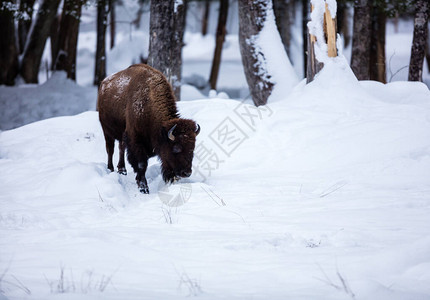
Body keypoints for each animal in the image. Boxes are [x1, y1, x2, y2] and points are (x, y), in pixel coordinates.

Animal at [97, 64, 200, 193]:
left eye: (192, 149)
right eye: (176, 149)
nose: (186, 173)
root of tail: (103, 84)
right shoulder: (136, 140)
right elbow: (141, 165)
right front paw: (143, 188)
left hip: (121, 135)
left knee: (121, 148)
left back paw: (122, 170)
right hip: (106, 131)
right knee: (110, 149)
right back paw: (110, 169)